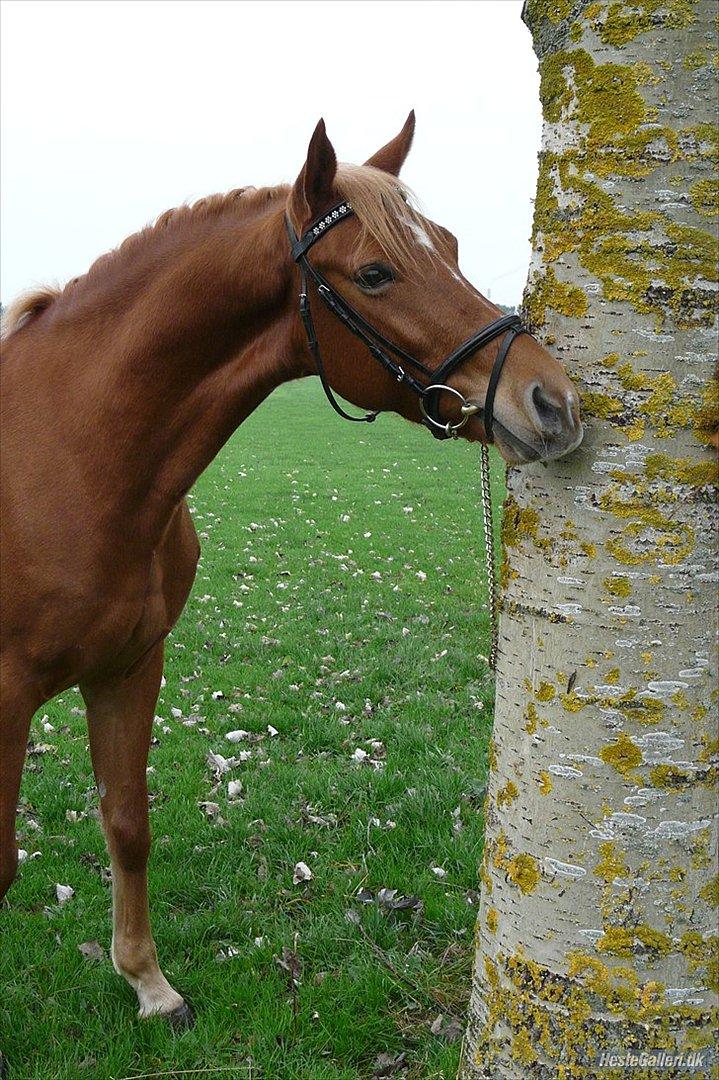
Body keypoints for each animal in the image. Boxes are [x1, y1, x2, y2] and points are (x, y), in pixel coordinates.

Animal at [0, 113, 583, 1024]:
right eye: (375, 272)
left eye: (450, 245)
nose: (551, 402)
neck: (67, 455)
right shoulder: (5, 693)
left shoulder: (129, 667)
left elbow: (127, 821)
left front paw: (148, 983)